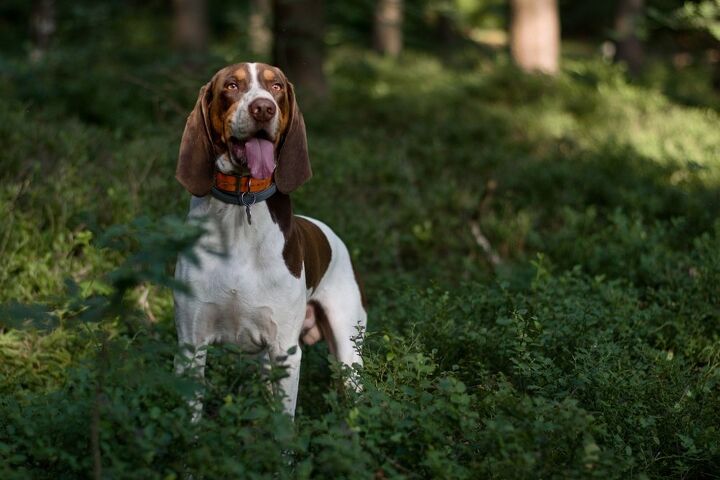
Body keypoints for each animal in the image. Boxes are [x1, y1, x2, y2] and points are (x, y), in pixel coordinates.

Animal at [173, 62, 366, 416]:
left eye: (276, 86)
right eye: (231, 85)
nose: (263, 108)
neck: (241, 207)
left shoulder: (284, 351)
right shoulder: (191, 346)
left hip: (349, 352)